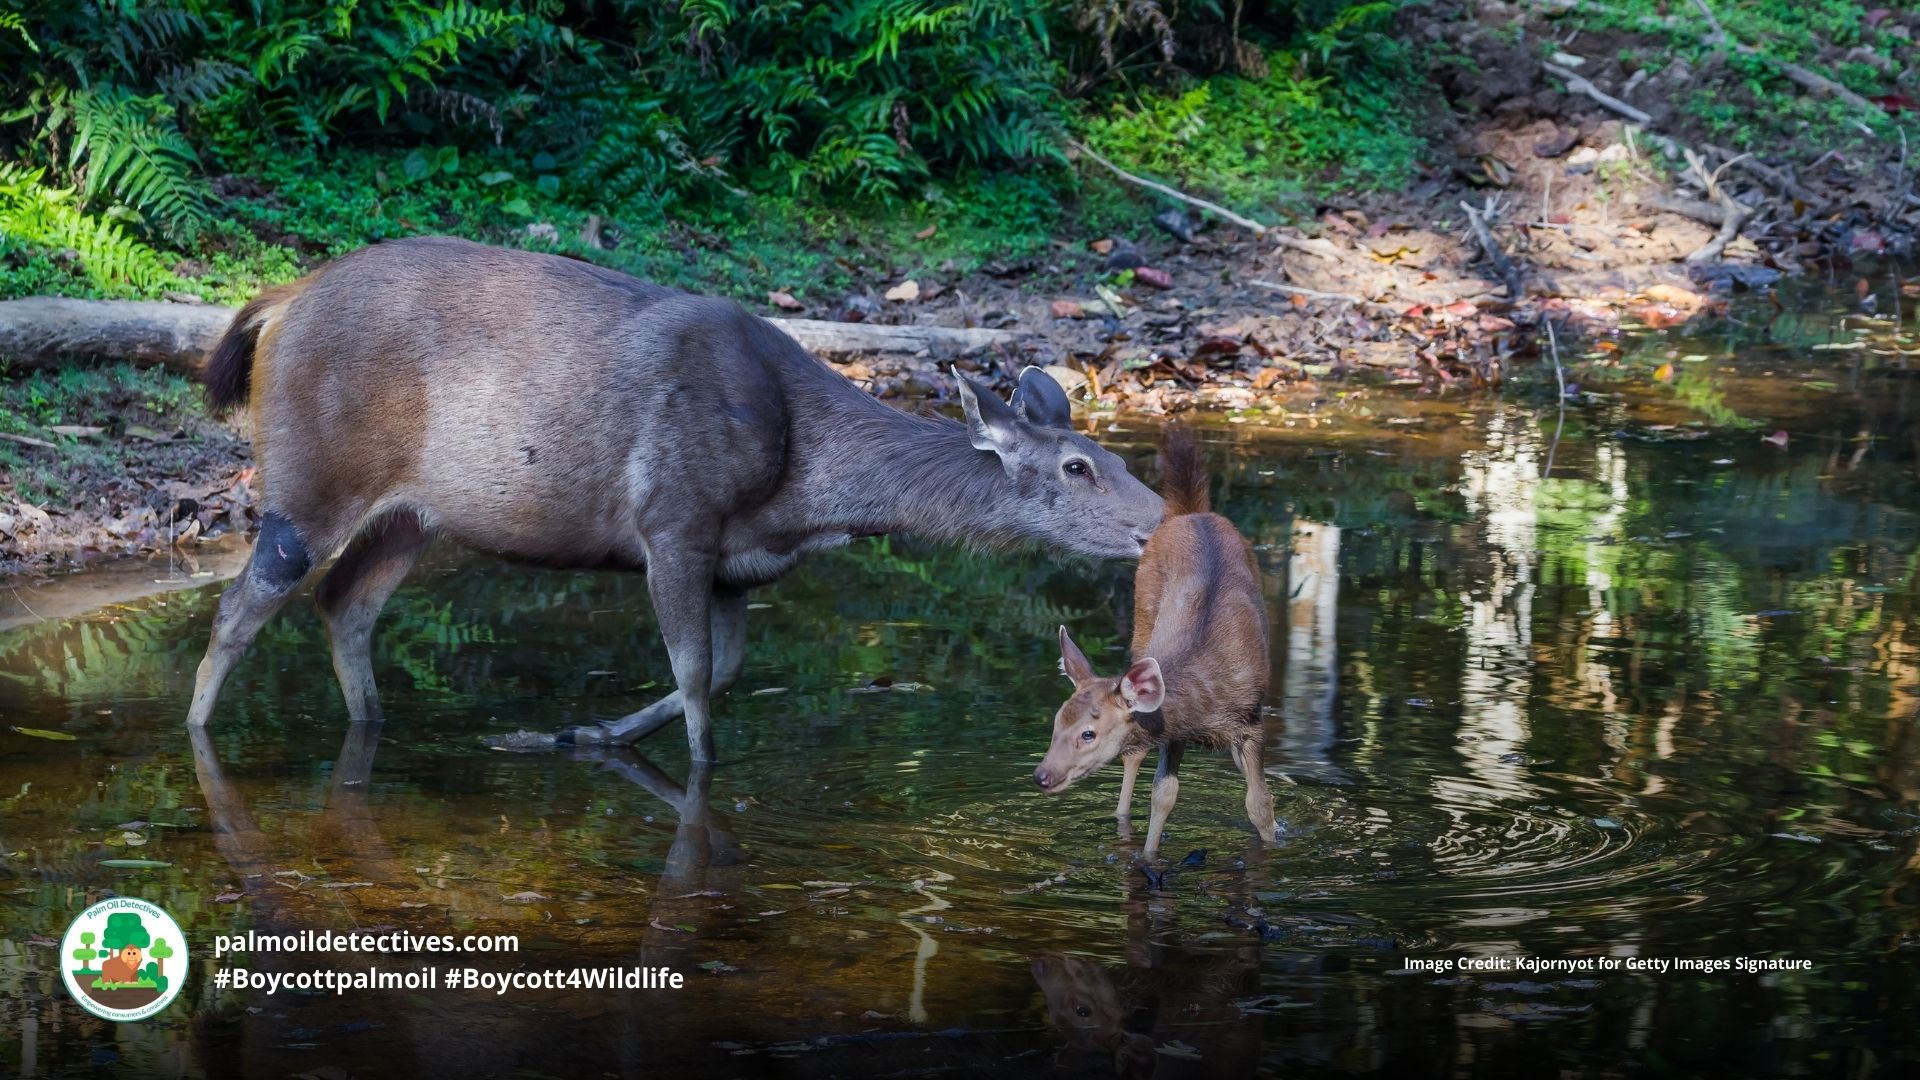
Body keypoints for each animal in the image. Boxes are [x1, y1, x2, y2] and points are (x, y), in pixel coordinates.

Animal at [188, 236, 1164, 762]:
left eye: (1107, 456)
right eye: (1077, 468)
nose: (1159, 521)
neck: (805, 488)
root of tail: (275, 305)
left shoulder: (739, 564)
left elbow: (721, 672)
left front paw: (582, 735)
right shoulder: (673, 521)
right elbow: (695, 676)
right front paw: (694, 768)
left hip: (413, 515)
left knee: (344, 602)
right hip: (309, 473)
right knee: (247, 604)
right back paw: (198, 733)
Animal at [1032, 426, 1274, 858]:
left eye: (1088, 733)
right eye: (1057, 721)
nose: (1042, 775)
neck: (1205, 708)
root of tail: (1189, 512)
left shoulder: (1252, 720)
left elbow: (1258, 804)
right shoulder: (1172, 734)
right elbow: (1163, 795)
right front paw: (1146, 857)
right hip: (1141, 622)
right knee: (1133, 756)